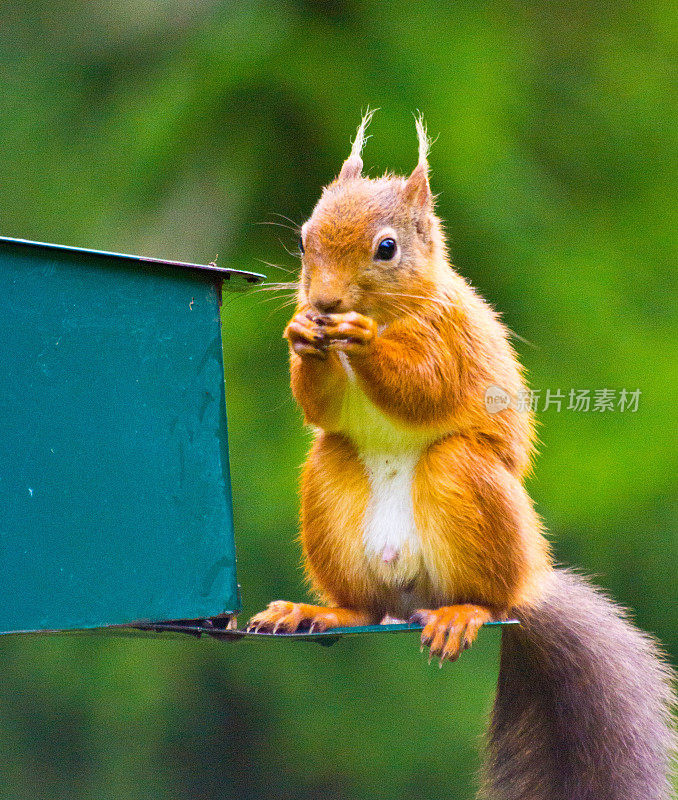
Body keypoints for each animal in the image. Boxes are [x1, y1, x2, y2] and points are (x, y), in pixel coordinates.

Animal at [251, 112, 678, 800]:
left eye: (387, 248)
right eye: (303, 240)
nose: (325, 304)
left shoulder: (448, 340)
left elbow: (423, 386)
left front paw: (364, 343)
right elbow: (319, 407)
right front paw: (300, 336)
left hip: (464, 484)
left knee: (490, 598)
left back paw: (463, 612)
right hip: (332, 488)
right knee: (363, 603)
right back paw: (317, 609)